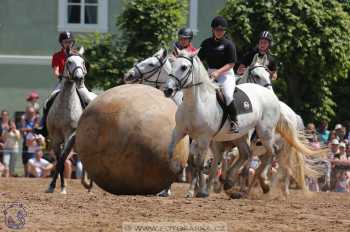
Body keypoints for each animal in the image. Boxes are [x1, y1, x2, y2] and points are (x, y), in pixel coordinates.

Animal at [164, 50, 318, 198]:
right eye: (173, 65)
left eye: (184, 67)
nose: (168, 90)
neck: (197, 102)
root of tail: (274, 99)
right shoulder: (181, 132)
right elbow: (176, 154)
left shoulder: (204, 139)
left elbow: (200, 164)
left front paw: (198, 190)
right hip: (242, 137)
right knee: (248, 154)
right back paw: (234, 183)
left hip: (266, 134)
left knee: (274, 159)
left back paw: (261, 187)